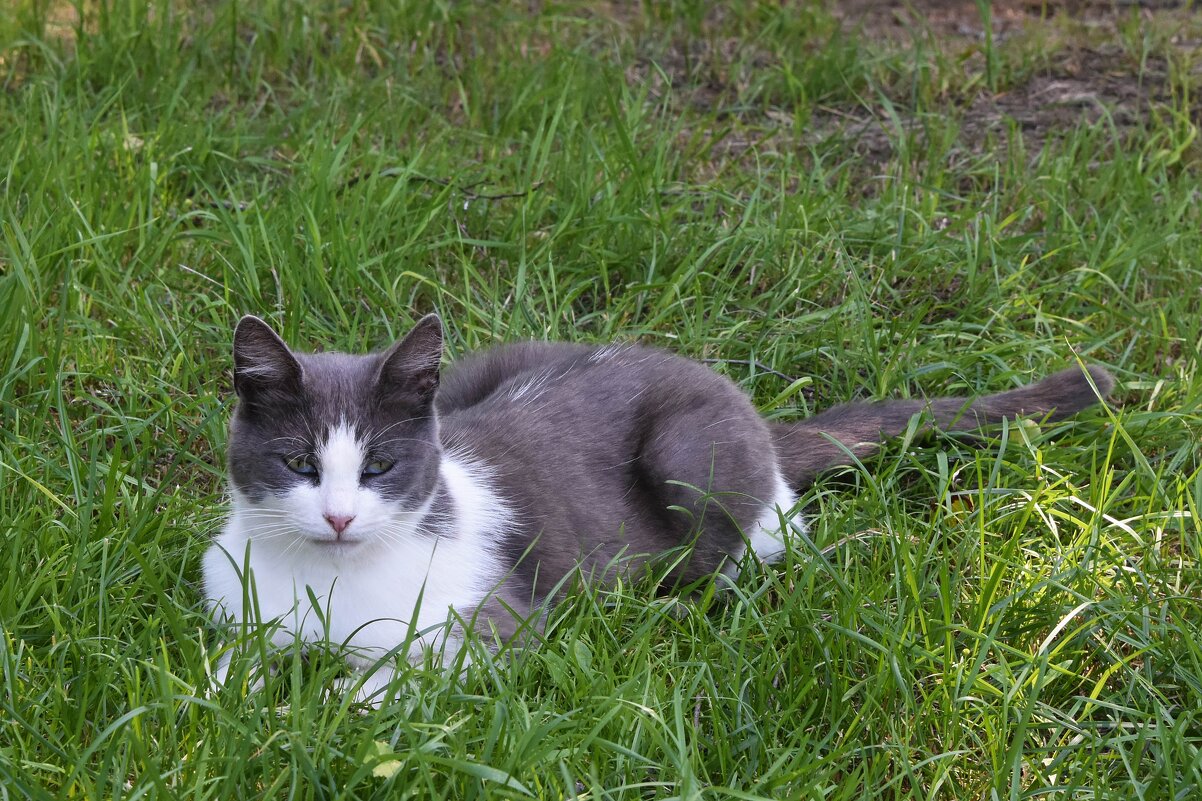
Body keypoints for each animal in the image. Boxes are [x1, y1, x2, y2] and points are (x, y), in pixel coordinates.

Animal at [206, 312, 1115, 697]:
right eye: (298, 462)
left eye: (382, 464)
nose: (338, 518)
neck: (330, 582)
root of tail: (760, 419)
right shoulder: (239, 603)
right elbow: (221, 672)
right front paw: (242, 699)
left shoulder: (488, 623)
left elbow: (379, 680)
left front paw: (318, 705)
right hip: (483, 368)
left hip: (689, 451)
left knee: (749, 555)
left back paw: (671, 606)